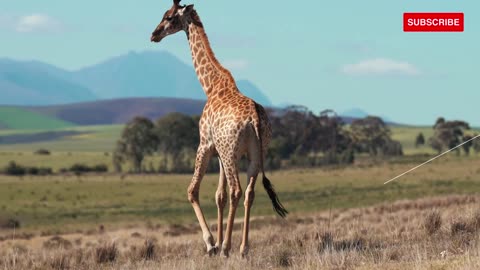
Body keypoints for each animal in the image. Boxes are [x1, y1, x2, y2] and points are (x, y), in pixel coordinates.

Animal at [150, 0, 286, 258]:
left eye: (169, 16)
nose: (154, 34)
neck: (210, 86)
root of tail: (255, 119)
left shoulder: (205, 145)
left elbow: (192, 190)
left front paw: (212, 243)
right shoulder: (220, 153)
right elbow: (219, 195)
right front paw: (220, 241)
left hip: (232, 153)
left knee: (236, 190)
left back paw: (225, 247)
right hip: (255, 154)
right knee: (249, 193)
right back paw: (243, 248)